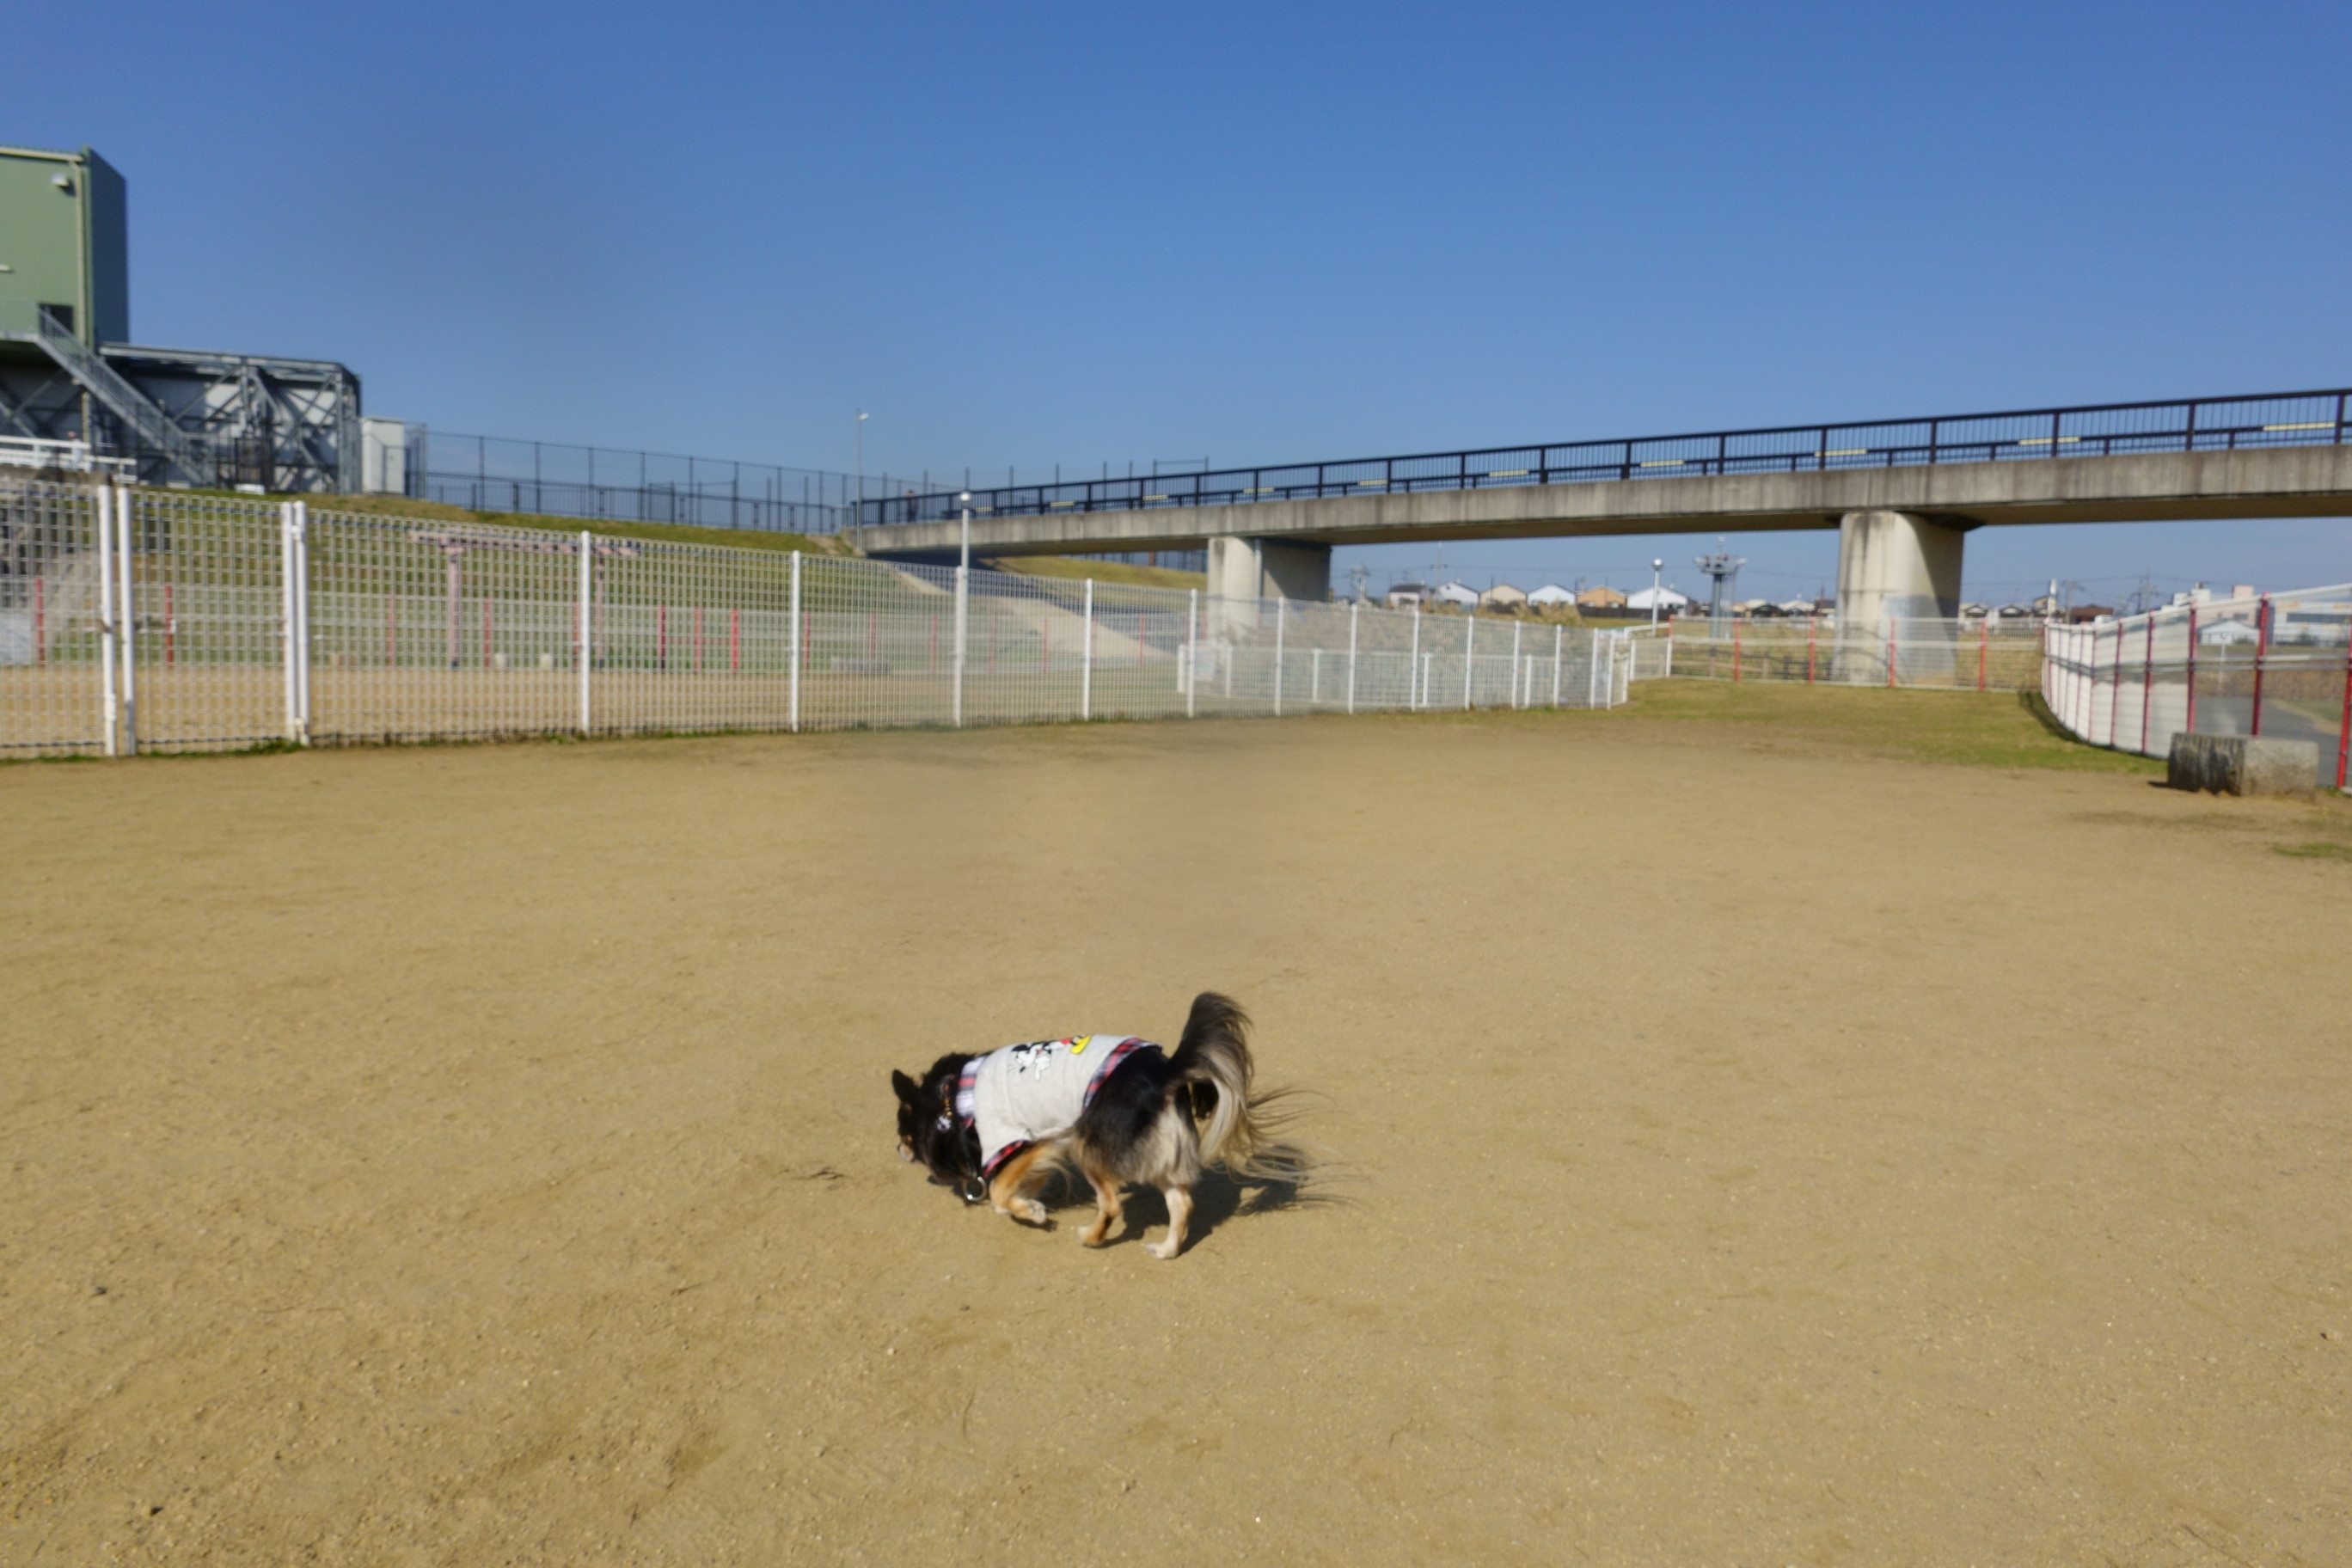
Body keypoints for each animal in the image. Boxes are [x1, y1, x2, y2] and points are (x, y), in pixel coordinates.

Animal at [889, 992, 1289, 1259]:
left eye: (903, 1135)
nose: (897, 1149)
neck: (956, 1098)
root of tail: (1166, 1073)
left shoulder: (1020, 1142)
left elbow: (1001, 1194)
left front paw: (1032, 1212)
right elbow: (1010, 1193)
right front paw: (1027, 1203)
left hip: (1087, 1143)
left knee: (1111, 1206)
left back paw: (1091, 1238)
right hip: (1155, 1148)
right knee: (1182, 1204)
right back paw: (1166, 1250)